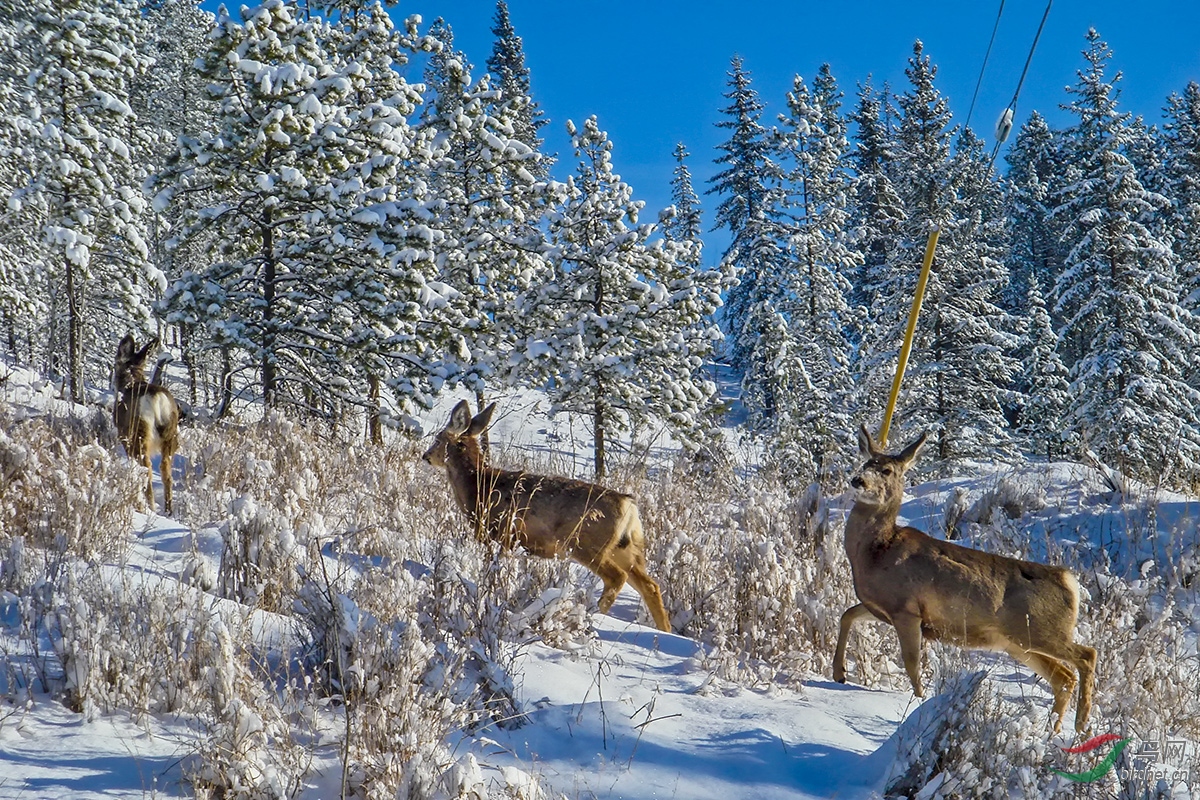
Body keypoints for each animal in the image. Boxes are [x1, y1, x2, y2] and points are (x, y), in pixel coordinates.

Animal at [113, 334, 181, 515]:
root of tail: (157, 397)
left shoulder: (124, 436)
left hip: (139, 433)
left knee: (147, 469)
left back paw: (149, 507)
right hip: (170, 435)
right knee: (166, 472)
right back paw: (168, 510)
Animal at [422, 400, 671, 632]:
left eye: (438, 439)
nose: (426, 456)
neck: (478, 486)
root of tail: (628, 505)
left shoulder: (498, 535)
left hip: (585, 543)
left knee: (617, 577)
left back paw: (593, 614)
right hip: (626, 548)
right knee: (651, 585)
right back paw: (664, 631)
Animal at [832, 425, 1096, 733]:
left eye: (886, 470)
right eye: (865, 464)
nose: (857, 480)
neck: (877, 552)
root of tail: (1070, 582)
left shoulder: (907, 609)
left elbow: (911, 663)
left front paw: (918, 703)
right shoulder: (881, 606)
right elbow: (847, 614)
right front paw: (839, 673)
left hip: (1044, 631)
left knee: (1086, 655)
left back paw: (1080, 725)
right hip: (1018, 642)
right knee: (1063, 677)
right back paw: (1051, 731)